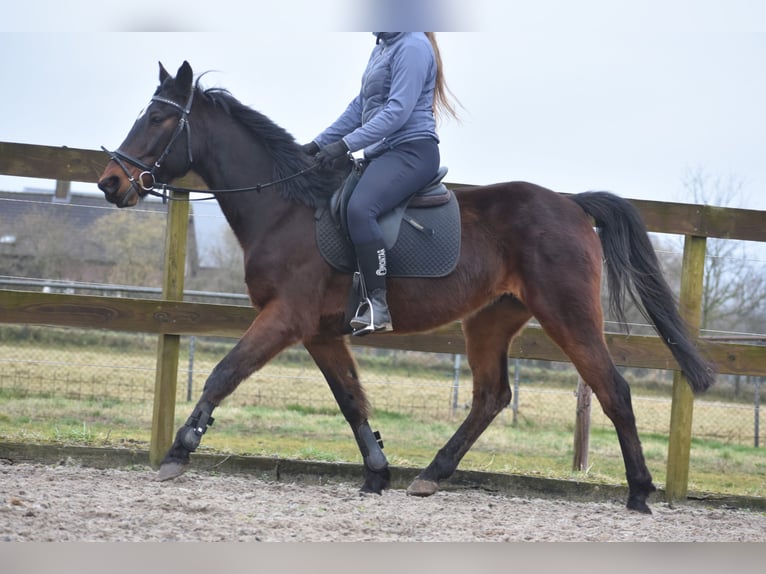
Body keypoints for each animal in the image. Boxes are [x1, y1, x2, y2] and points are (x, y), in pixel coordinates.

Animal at [99, 60, 716, 516]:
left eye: (159, 118)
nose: (111, 183)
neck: (285, 207)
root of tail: (570, 203)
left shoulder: (285, 317)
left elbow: (224, 373)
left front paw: (179, 452)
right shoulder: (320, 332)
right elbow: (351, 399)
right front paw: (377, 473)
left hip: (568, 314)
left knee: (614, 390)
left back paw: (639, 492)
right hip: (491, 319)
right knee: (491, 396)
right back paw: (432, 474)